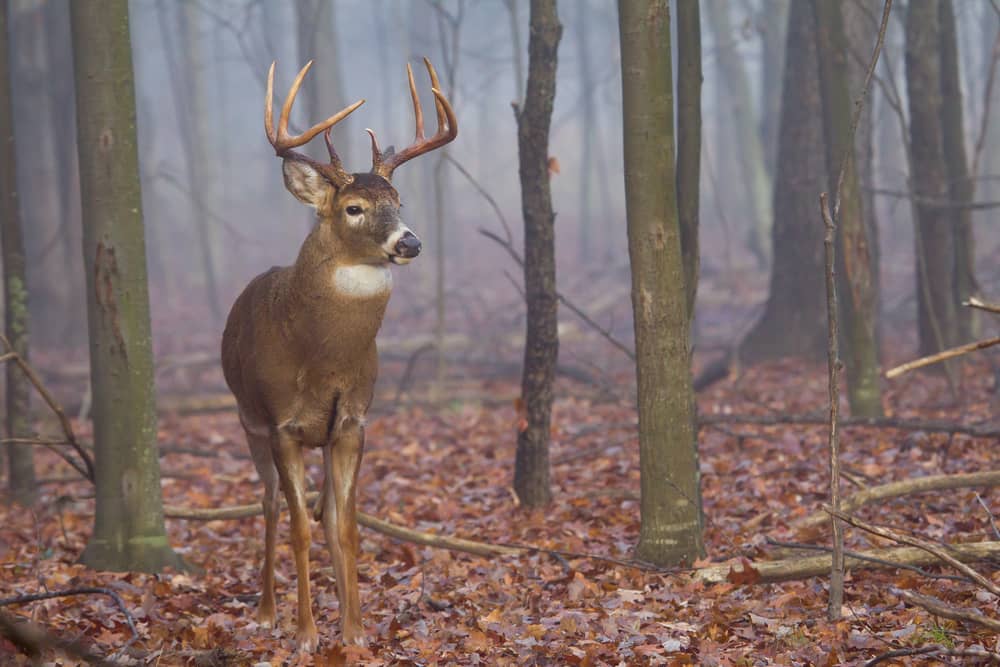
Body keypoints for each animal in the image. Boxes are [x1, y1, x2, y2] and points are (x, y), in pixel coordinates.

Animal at [221, 58, 456, 651]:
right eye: (354, 208)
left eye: (399, 202)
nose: (409, 242)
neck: (321, 356)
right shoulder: (282, 424)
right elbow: (301, 527)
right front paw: (305, 634)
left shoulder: (351, 422)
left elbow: (343, 526)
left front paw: (354, 631)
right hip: (247, 419)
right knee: (271, 505)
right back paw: (267, 612)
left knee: (324, 512)